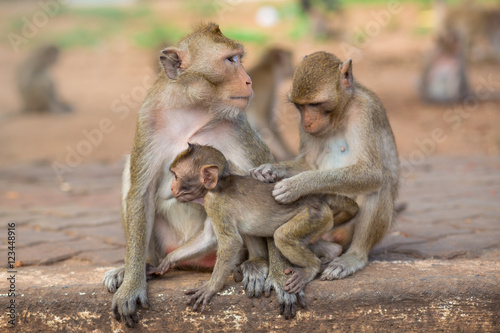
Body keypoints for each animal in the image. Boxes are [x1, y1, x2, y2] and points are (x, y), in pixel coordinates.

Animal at [101, 24, 276, 326]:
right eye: (231, 60)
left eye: (239, 58)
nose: (249, 81)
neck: (193, 109)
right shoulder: (148, 119)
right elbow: (140, 193)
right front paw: (132, 282)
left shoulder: (237, 125)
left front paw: (269, 270)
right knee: (129, 173)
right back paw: (138, 266)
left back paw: (254, 263)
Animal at [170, 143, 358, 312]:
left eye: (176, 177)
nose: (171, 187)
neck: (218, 184)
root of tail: (317, 197)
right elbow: (209, 238)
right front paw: (167, 262)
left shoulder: (213, 204)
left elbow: (230, 243)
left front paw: (210, 288)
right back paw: (332, 252)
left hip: (315, 215)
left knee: (282, 236)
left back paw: (311, 267)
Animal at [252, 51, 400, 280]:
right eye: (300, 106)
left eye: (315, 104)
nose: (307, 123)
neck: (340, 114)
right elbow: (308, 162)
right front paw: (272, 169)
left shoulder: (365, 111)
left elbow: (373, 173)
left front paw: (297, 185)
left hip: (344, 230)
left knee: (378, 188)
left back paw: (353, 256)